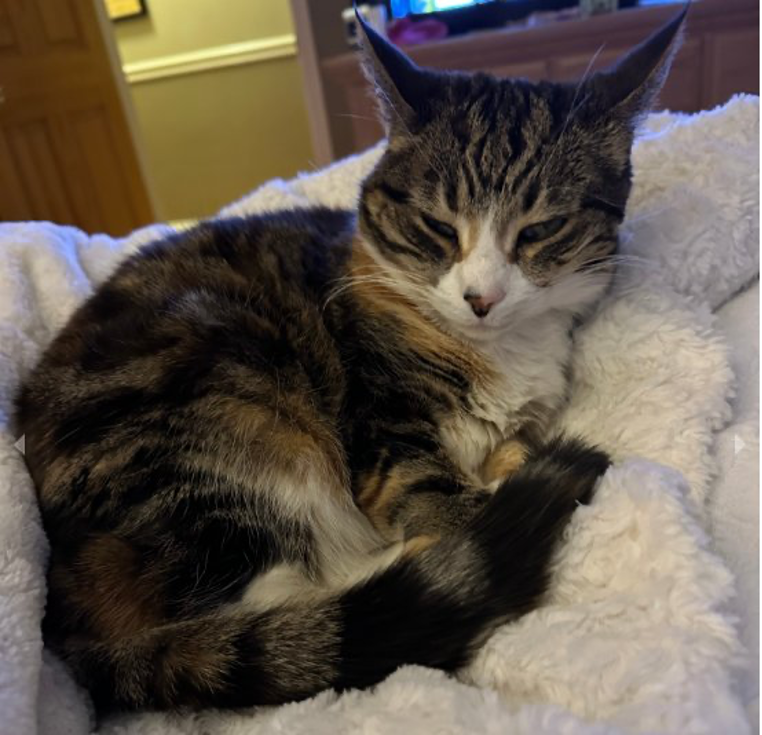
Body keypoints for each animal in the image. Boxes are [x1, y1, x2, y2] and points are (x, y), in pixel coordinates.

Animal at [16, 5, 684, 716]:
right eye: (438, 227)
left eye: (539, 230)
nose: (481, 298)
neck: (491, 351)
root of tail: (65, 623)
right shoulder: (387, 439)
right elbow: (439, 498)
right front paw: (496, 490)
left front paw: (512, 453)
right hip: (222, 422)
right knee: (273, 595)